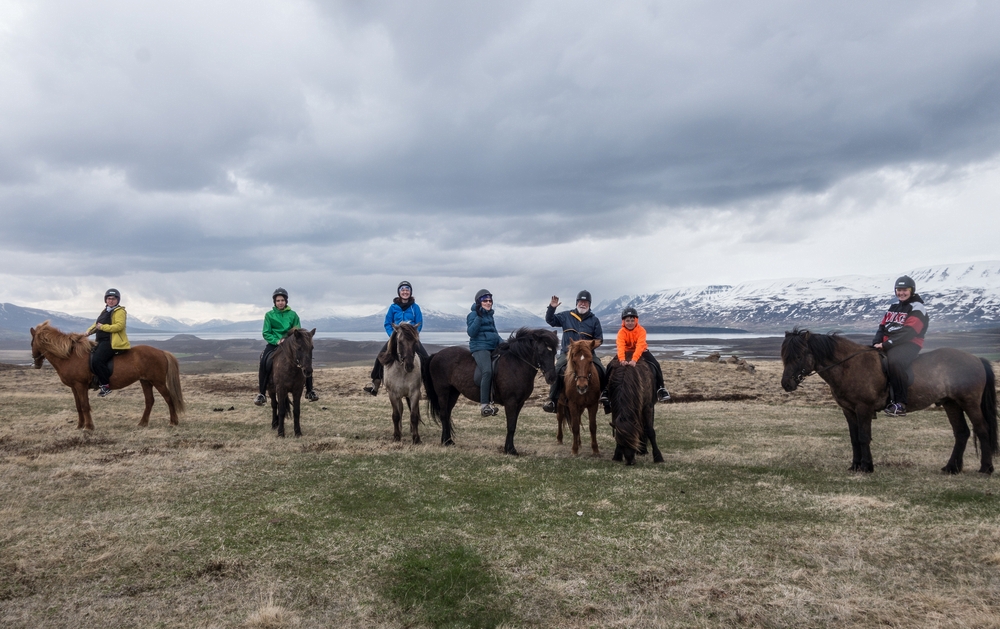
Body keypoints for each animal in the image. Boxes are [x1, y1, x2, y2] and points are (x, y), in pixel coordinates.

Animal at [28, 322, 186, 430]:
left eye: (31, 343)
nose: (36, 364)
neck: (69, 356)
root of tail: (161, 352)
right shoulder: (74, 387)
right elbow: (78, 406)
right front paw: (80, 426)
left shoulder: (81, 386)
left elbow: (85, 405)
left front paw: (89, 427)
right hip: (145, 381)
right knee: (149, 401)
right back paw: (142, 423)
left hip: (158, 381)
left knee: (168, 398)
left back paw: (173, 422)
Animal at [422, 326, 560, 454]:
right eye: (541, 352)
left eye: (554, 352)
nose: (552, 378)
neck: (517, 364)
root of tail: (436, 355)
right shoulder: (511, 402)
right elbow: (510, 426)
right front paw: (510, 450)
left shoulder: (519, 403)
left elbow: (513, 425)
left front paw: (509, 448)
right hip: (443, 392)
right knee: (444, 414)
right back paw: (446, 442)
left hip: (453, 393)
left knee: (447, 414)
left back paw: (448, 441)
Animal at [780, 328, 1000, 472]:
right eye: (783, 355)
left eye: (799, 355)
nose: (786, 384)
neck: (849, 366)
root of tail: (976, 359)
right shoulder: (849, 410)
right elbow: (853, 438)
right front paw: (855, 465)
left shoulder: (863, 408)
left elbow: (863, 437)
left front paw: (867, 467)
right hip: (951, 403)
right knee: (961, 433)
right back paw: (951, 468)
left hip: (970, 402)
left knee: (982, 430)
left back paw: (986, 468)